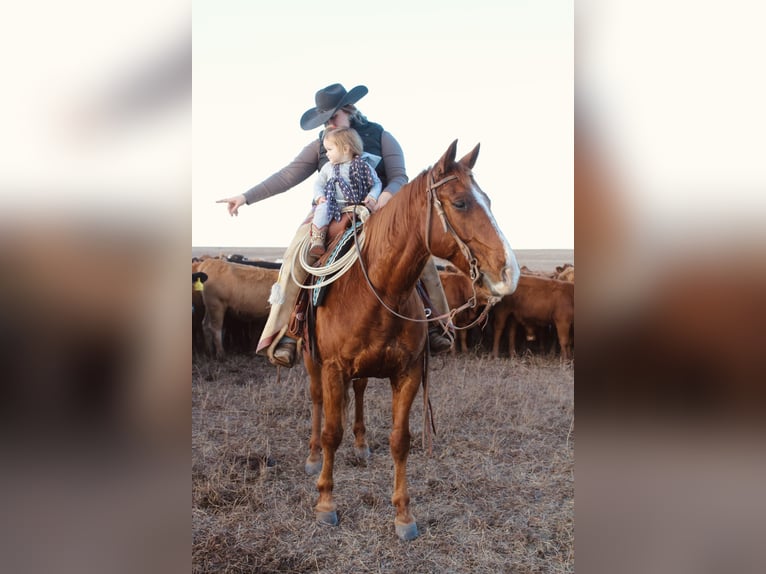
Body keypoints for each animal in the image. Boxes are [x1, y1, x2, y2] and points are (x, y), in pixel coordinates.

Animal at [304, 140, 520, 540]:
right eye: (461, 203)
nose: (509, 273)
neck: (379, 290)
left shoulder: (408, 373)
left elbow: (400, 440)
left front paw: (403, 514)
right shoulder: (333, 369)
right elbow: (331, 432)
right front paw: (325, 502)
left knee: (358, 392)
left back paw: (361, 446)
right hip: (312, 361)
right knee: (316, 402)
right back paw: (312, 457)